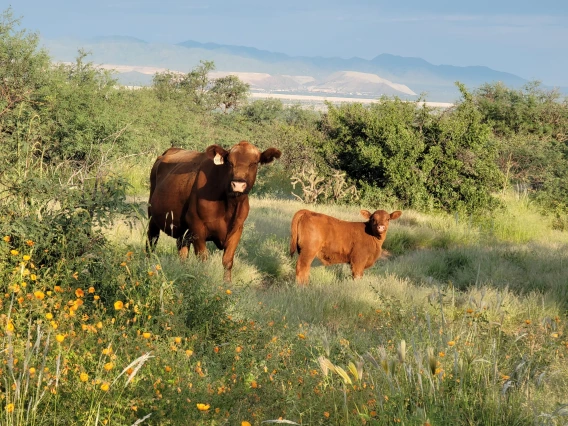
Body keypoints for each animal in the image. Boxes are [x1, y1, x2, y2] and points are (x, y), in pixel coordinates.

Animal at [146, 141, 280, 282]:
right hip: (152, 217)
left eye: (254, 163)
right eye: (230, 162)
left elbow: (227, 260)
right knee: (152, 241)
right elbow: (203, 259)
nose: (238, 185)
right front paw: (205, 279)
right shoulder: (197, 225)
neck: (229, 207)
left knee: (182, 247)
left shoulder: (237, 229)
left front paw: (227, 284)